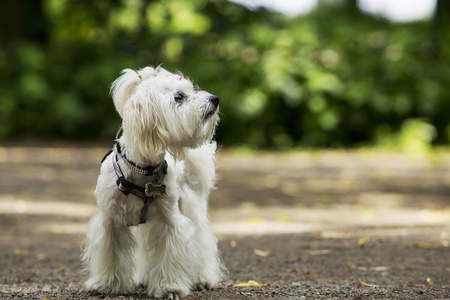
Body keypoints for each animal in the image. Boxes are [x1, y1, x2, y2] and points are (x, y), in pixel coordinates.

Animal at [81, 67, 225, 298]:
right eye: (179, 97)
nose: (215, 99)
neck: (142, 171)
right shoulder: (109, 221)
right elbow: (111, 253)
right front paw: (108, 284)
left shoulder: (170, 221)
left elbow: (170, 253)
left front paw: (169, 287)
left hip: (192, 206)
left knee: (202, 241)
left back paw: (203, 278)